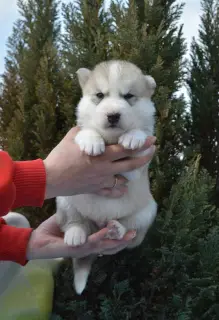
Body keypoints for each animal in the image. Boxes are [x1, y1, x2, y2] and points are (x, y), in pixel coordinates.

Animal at [55, 59, 157, 296]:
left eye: (129, 96)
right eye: (100, 95)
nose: (113, 115)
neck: (112, 140)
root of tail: (98, 226)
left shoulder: (142, 159)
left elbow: (142, 134)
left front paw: (133, 137)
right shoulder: (78, 130)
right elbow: (85, 131)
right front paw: (91, 141)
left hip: (148, 211)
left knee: (130, 231)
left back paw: (116, 229)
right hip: (65, 199)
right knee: (74, 222)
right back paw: (75, 234)